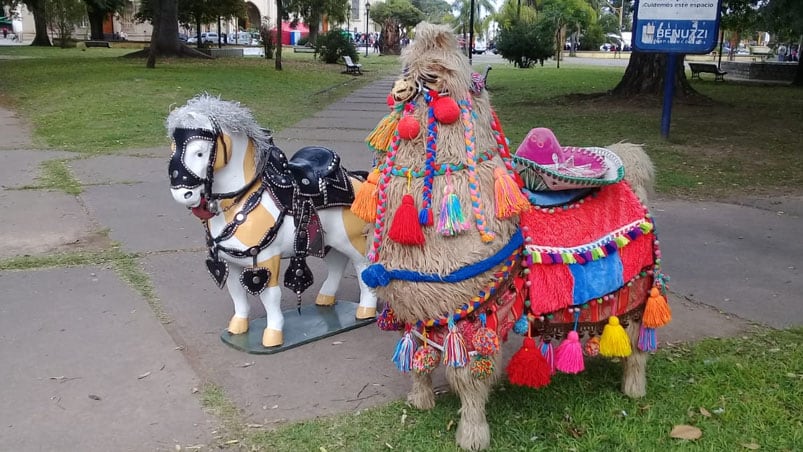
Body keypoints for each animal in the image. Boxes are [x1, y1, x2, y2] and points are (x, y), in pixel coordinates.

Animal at [166, 95, 376, 348]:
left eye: (199, 152)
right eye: (173, 148)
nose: (183, 194)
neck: (243, 201)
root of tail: (357, 179)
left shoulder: (267, 257)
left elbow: (270, 296)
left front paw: (273, 334)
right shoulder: (231, 262)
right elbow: (236, 292)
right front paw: (238, 326)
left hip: (351, 239)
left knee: (363, 266)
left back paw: (365, 310)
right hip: (327, 241)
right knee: (337, 264)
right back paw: (325, 299)